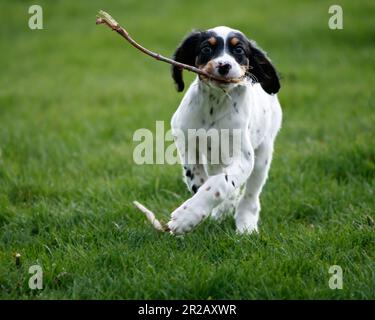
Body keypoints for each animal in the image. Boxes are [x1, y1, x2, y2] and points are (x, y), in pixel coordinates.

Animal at [167, 25, 282, 235]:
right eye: (206, 48)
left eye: (239, 50)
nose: (224, 65)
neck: (216, 103)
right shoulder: (183, 136)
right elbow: (196, 175)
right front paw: (200, 196)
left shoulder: (244, 157)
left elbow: (220, 183)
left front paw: (186, 217)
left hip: (262, 155)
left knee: (251, 195)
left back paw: (246, 224)